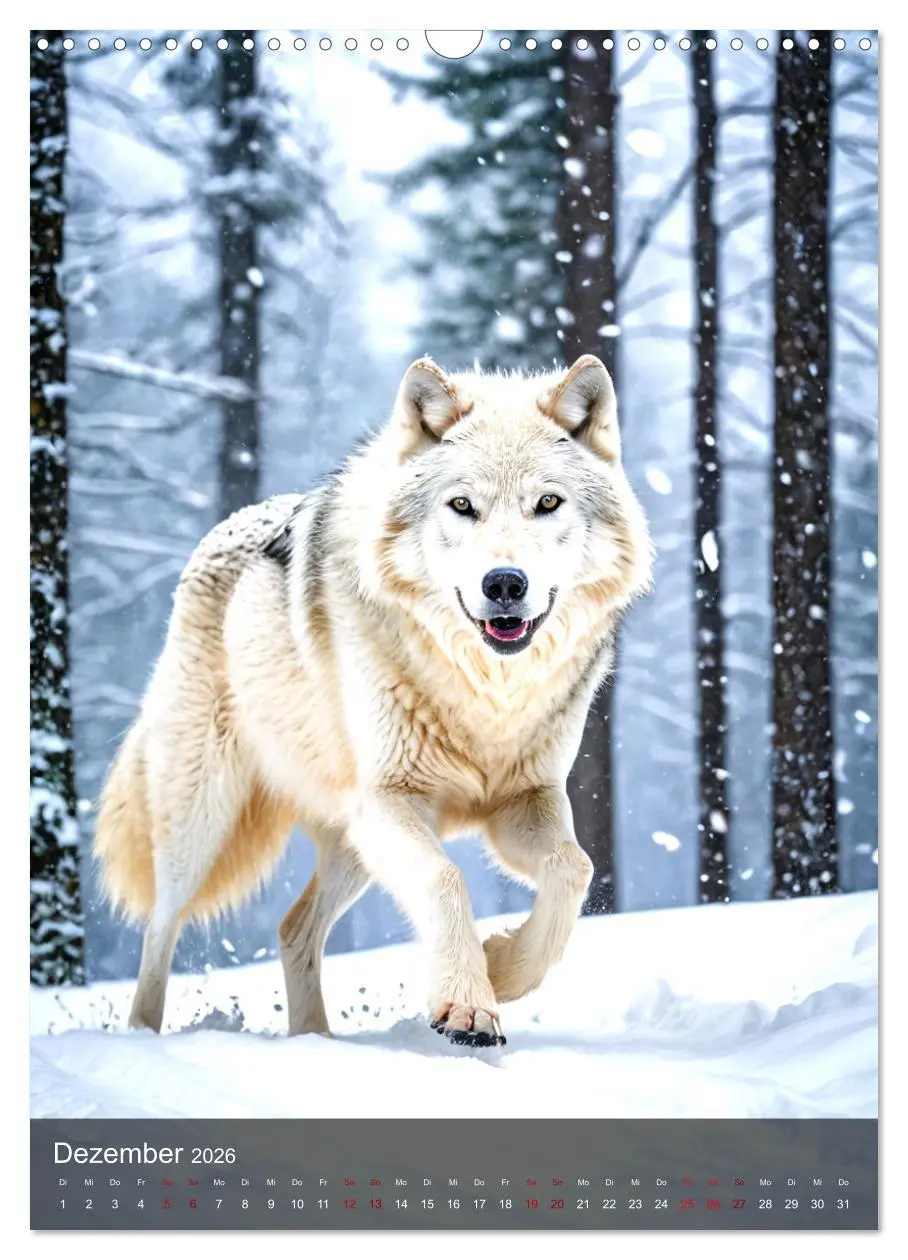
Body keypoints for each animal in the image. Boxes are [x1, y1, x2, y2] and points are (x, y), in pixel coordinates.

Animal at [95, 354, 653, 1047]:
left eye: (547, 503)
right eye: (462, 506)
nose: (504, 583)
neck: (486, 694)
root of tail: (220, 529)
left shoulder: (525, 799)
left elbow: (573, 871)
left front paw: (501, 968)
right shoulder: (391, 801)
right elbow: (447, 877)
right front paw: (469, 1005)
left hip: (351, 842)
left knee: (293, 928)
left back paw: (314, 1042)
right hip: (203, 820)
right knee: (159, 929)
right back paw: (144, 1035)